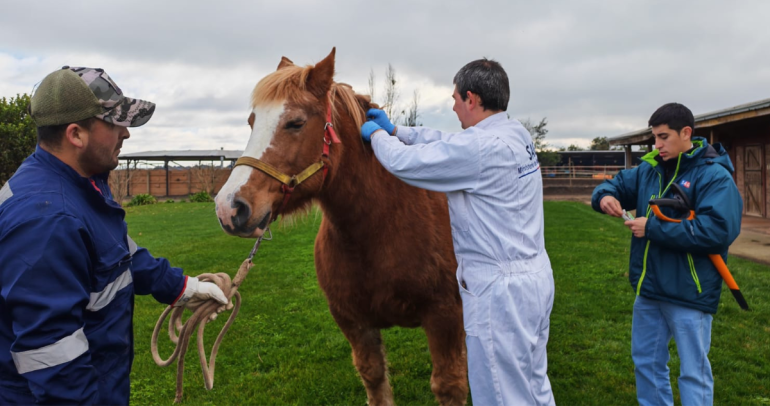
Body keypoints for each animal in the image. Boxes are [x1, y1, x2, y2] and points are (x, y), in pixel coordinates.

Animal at [215, 48, 467, 406]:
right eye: (252, 122)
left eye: (296, 123)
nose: (229, 207)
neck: (380, 229)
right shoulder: (353, 322)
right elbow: (374, 377)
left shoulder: (445, 317)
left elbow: (449, 384)